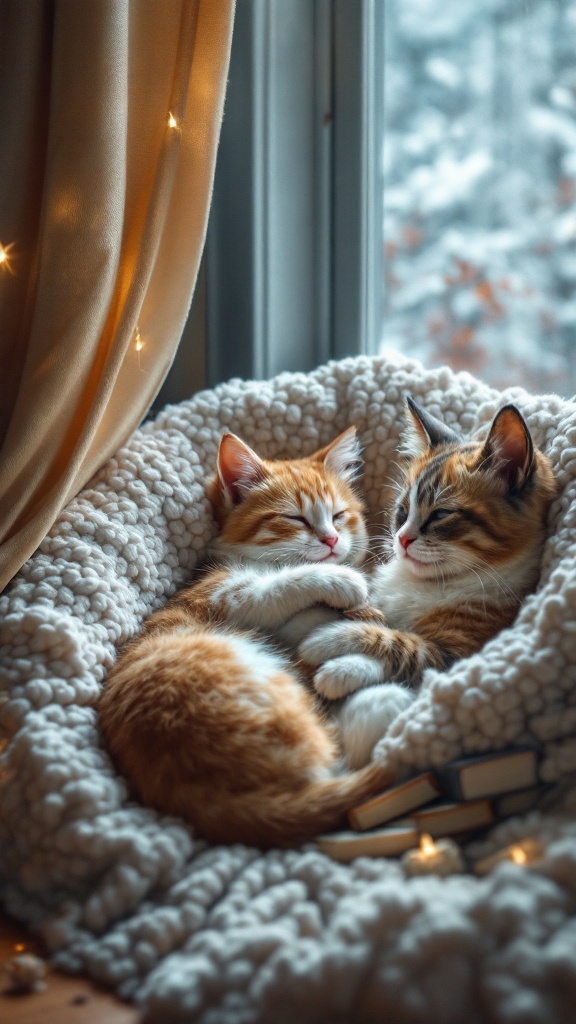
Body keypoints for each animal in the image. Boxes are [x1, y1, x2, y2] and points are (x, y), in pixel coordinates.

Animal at [99, 425, 393, 847]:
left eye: (340, 515)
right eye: (295, 518)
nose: (332, 540)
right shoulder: (220, 595)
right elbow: (274, 587)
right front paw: (341, 581)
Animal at [297, 393, 553, 753]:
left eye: (441, 514)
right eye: (402, 512)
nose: (402, 539)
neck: (431, 583)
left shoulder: (458, 657)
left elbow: (406, 645)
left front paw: (334, 651)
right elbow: (380, 621)